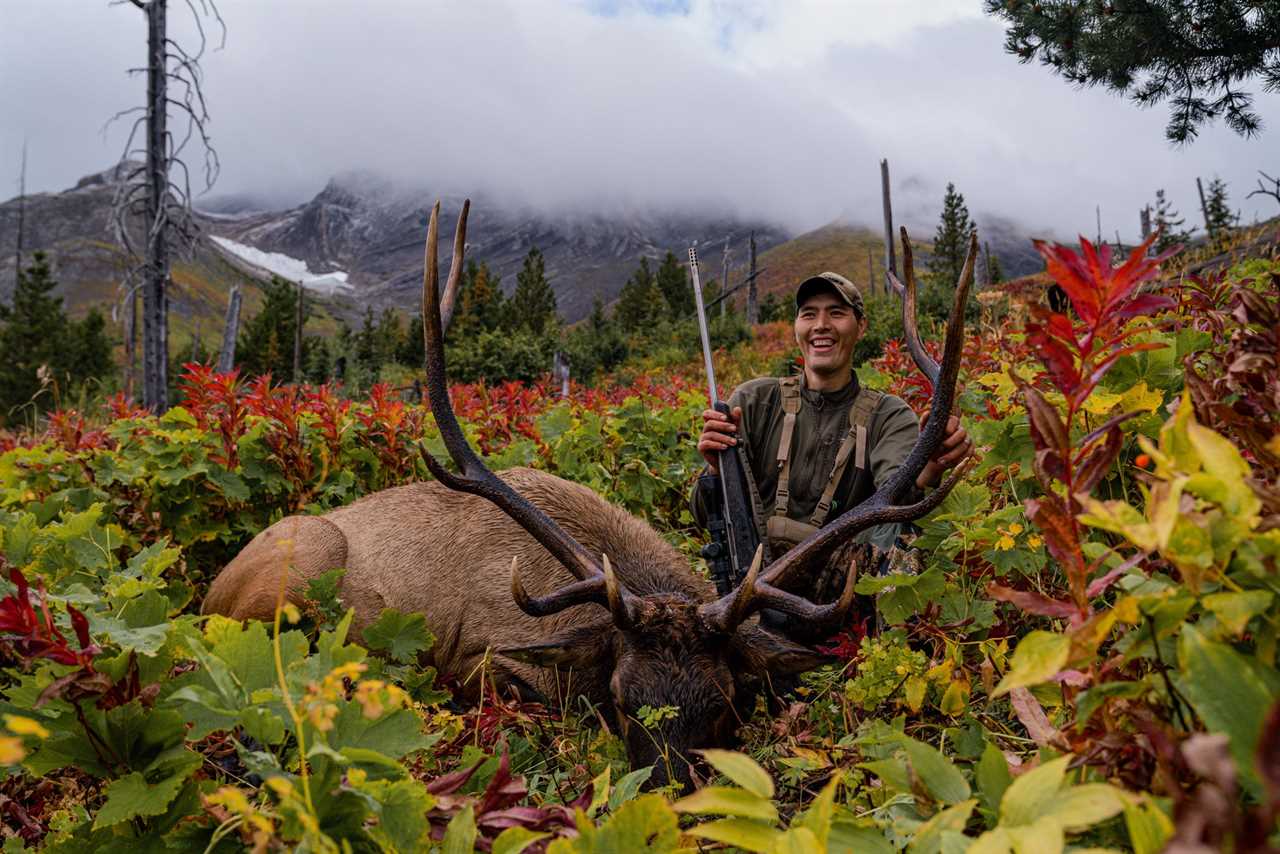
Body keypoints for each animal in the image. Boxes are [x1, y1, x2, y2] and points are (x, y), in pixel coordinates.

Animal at [204, 201, 972, 788]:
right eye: (623, 701)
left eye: (724, 703)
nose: (671, 796)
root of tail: (211, 588)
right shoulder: (483, 659)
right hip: (300, 564)